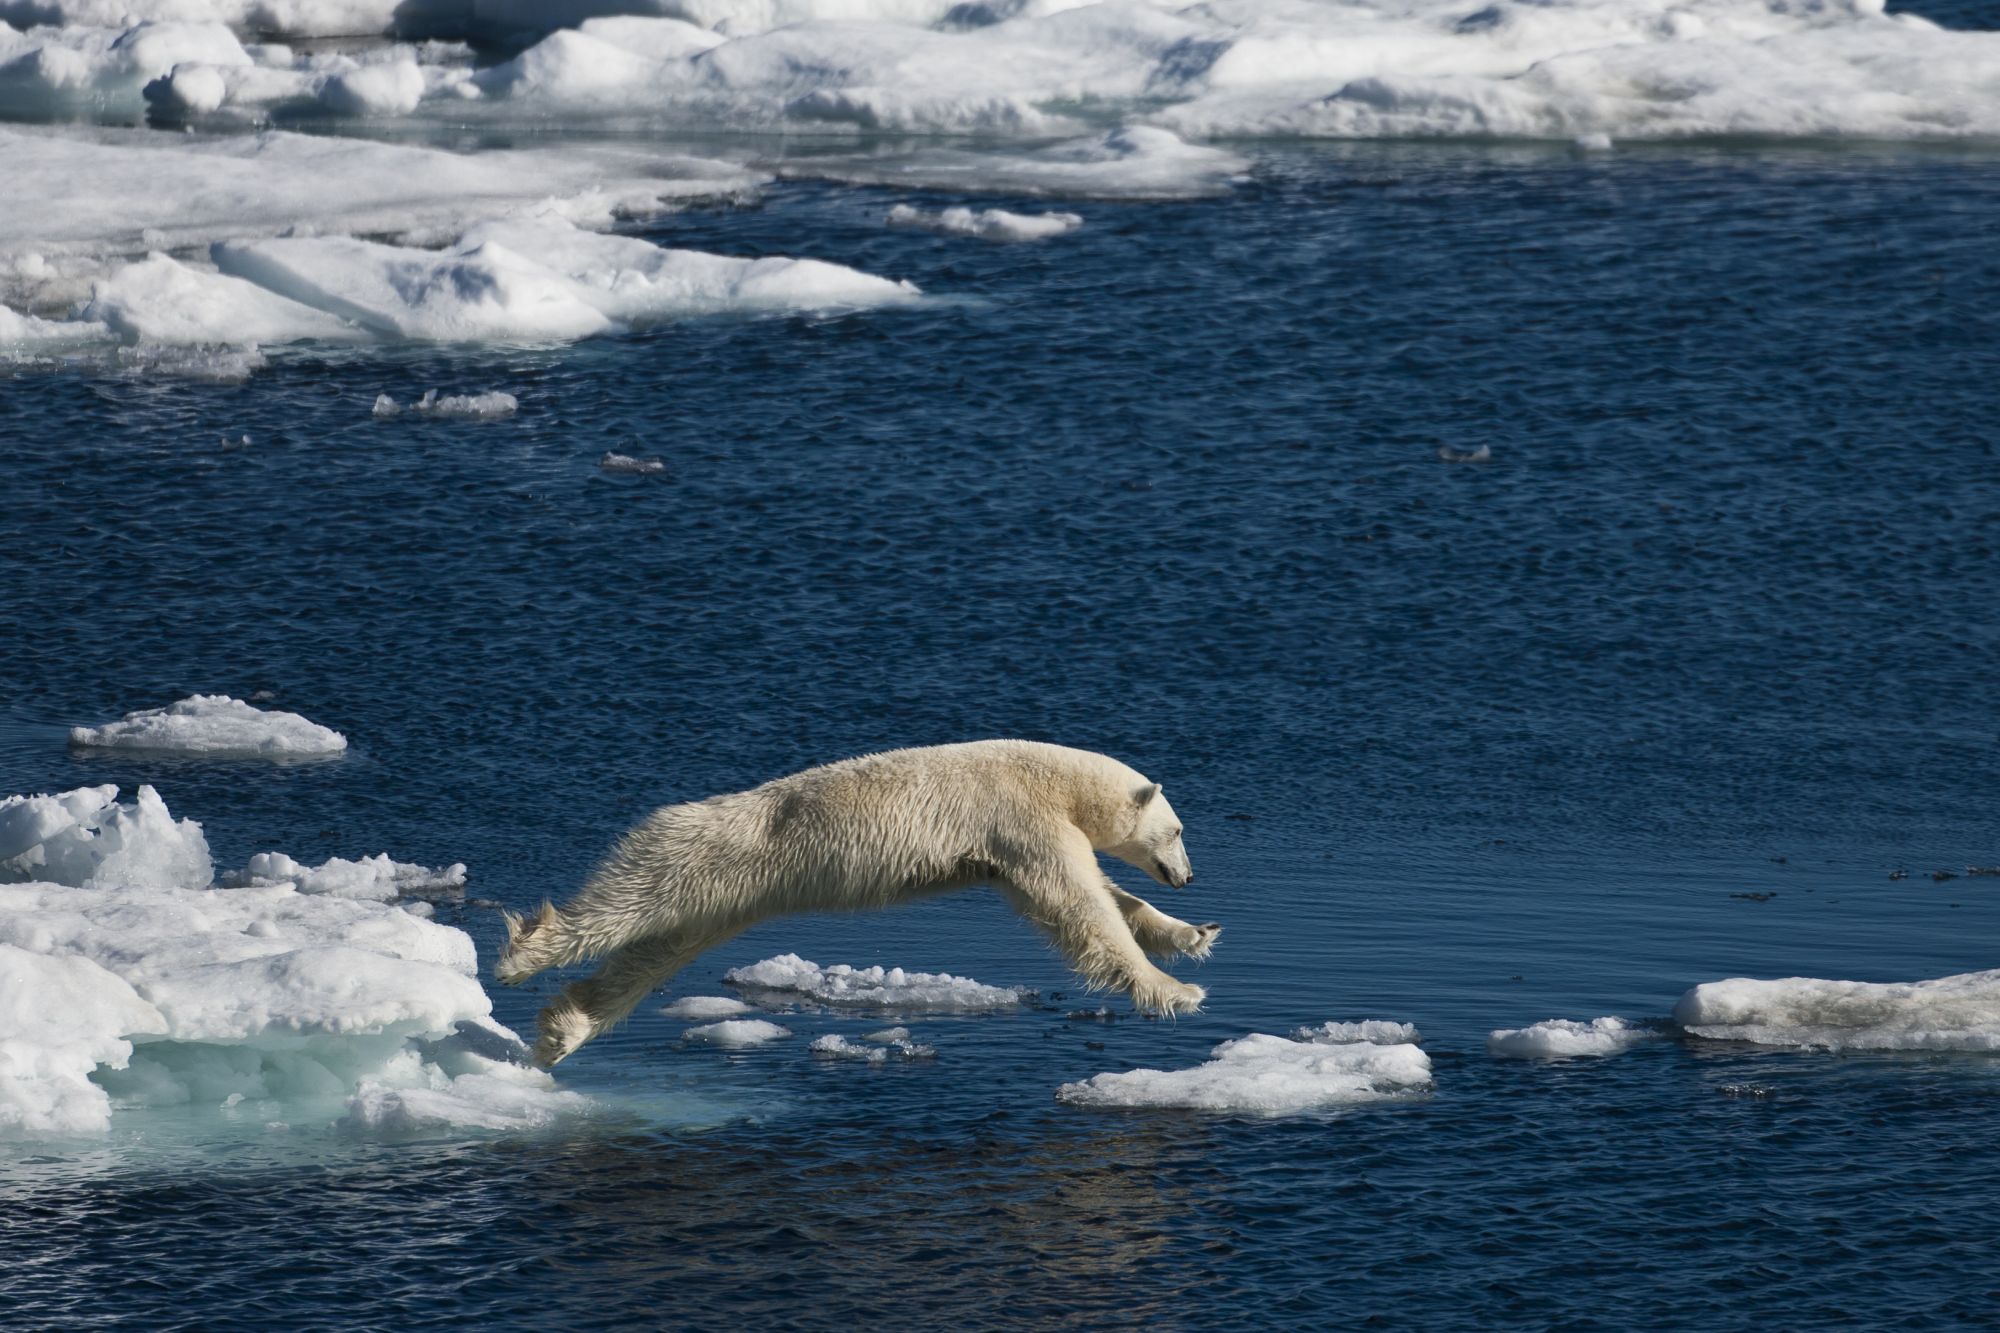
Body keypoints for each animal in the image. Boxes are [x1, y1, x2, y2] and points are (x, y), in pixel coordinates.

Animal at [496, 740, 1217, 1067]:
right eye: (1179, 831)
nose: (1187, 877)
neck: (1051, 777)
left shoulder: (1009, 847)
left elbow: (1100, 898)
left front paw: (1193, 934)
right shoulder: (1022, 817)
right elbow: (1080, 907)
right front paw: (1176, 991)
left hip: (721, 898)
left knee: (650, 956)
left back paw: (562, 1031)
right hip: (693, 859)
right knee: (625, 908)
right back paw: (524, 953)